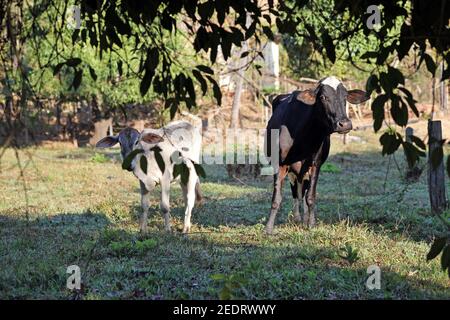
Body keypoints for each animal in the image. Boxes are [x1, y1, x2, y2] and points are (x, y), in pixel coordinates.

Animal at [266, 76, 368, 234]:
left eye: (345, 97)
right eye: (323, 97)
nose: (345, 124)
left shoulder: (315, 164)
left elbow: (310, 196)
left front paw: (311, 223)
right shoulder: (279, 163)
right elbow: (276, 198)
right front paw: (269, 228)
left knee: (302, 191)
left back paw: (303, 218)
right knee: (296, 191)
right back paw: (297, 217)